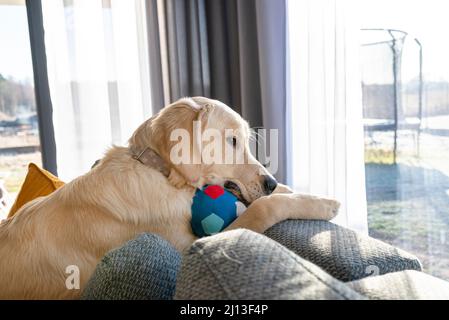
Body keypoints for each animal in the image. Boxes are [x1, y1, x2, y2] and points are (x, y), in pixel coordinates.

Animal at [0, 96, 338, 298]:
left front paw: (287, 188)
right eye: (232, 141)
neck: (159, 171)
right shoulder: (189, 247)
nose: (270, 182)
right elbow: (264, 208)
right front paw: (320, 203)